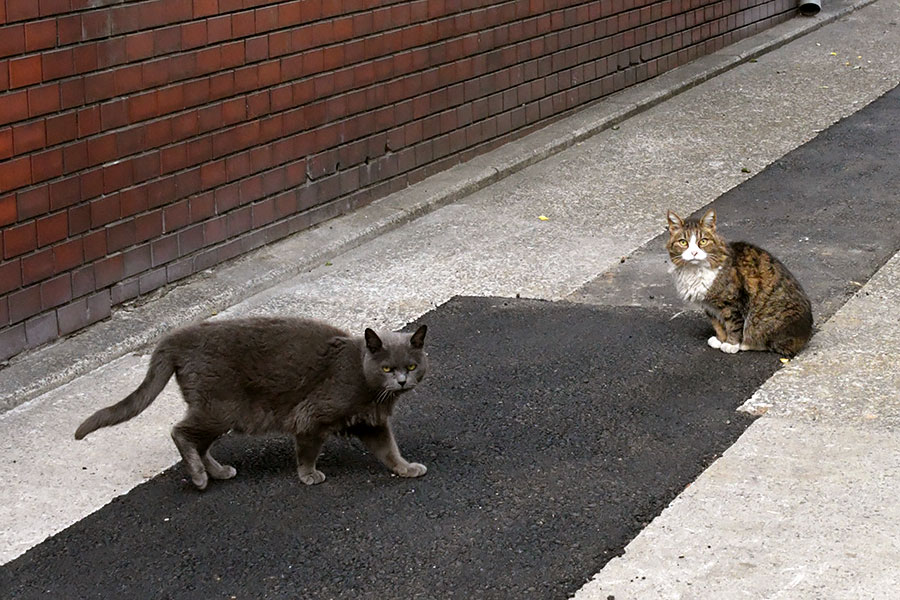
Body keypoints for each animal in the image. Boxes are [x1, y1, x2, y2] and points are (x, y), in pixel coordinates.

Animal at [75, 316, 430, 490]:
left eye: (412, 366)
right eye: (387, 369)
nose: (402, 381)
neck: (370, 389)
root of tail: (177, 337)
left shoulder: (372, 422)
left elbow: (389, 449)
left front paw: (407, 468)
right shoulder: (312, 415)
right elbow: (307, 449)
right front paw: (308, 475)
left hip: (217, 411)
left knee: (199, 443)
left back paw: (218, 472)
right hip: (219, 407)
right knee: (181, 433)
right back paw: (200, 478)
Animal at [664, 209, 812, 356]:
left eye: (703, 241)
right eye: (683, 242)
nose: (694, 253)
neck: (695, 270)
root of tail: (806, 334)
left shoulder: (732, 303)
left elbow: (733, 325)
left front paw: (731, 344)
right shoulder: (709, 306)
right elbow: (717, 324)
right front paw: (720, 339)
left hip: (766, 320)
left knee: (775, 344)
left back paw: (746, 344)